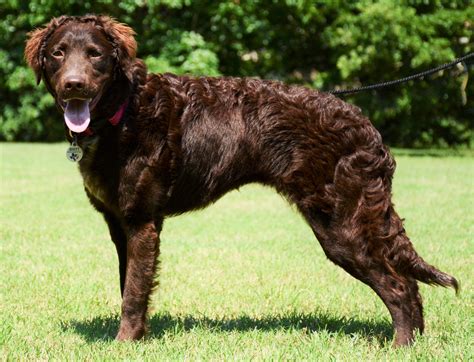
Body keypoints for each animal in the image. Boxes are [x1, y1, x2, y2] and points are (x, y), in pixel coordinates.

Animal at [24, 15, 458, 346]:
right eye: (59, 53)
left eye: (95, 55)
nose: (74, 85)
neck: (124, 112)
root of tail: (367, 127)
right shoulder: (119, 224)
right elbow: (129, 283)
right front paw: (138, 336)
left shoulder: (142, 221)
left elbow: (133, 291)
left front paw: (124, 343)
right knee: (409, 286)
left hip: (343, 228)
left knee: (400, 287)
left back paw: (401, 346)